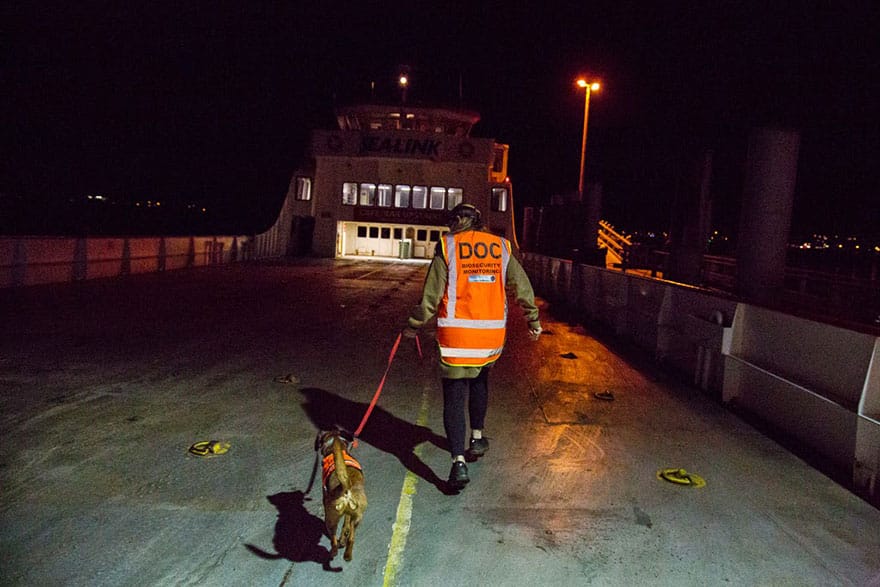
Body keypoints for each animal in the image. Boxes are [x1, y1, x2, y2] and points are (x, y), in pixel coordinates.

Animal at [314, 430, 366, 564]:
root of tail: (346, 486)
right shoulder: (349, 515)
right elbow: (346, 524)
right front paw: (343, 537)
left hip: (329, 519)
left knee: (333, 540)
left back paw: (333, 551)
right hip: (357, 517)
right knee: (351, 537)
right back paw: (347, 553)